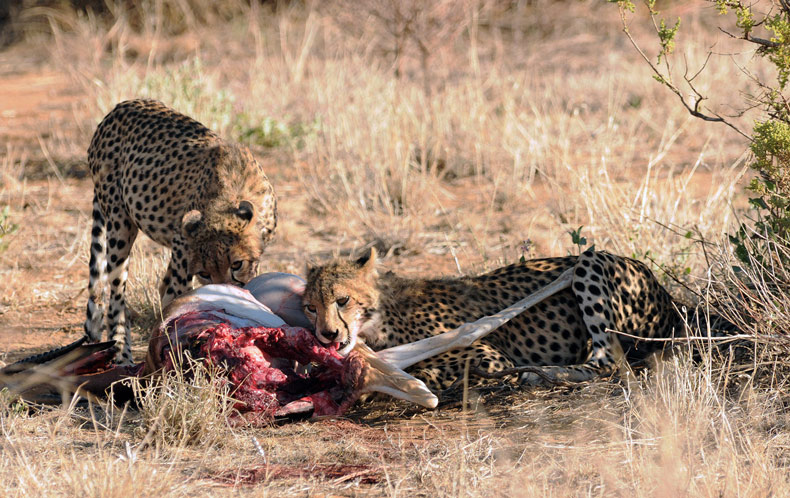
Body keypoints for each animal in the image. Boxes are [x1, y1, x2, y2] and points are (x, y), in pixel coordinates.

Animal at [84, 99, 278, 364]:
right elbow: (174, 300)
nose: (222, 291)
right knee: (116, 295)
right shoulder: (182, 256)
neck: (230, 198)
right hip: (119, 223)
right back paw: (123, 354)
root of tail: (121, 106)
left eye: (236, 264)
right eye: (204, 273)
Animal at [304, 247, 744, 392]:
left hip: (592, 260)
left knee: (607, 362)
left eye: (342, 299)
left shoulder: (489, 355)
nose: (326, 335)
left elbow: (431, 368)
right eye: (310, 306)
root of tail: (668, 298)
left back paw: (543, 374)